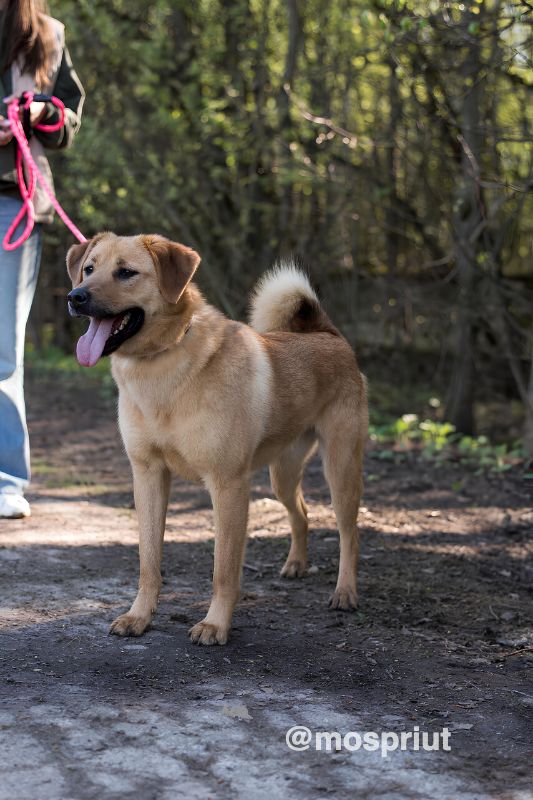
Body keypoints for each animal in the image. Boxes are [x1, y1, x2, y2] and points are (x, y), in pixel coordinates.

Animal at [65, 231, 366, 644]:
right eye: (89, 269)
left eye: (126, 272)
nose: (75, 296)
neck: (164, 361)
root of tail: (328, 334)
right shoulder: (148, 475)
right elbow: (148, 561)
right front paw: (139, 616)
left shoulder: (228, 485)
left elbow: (224, 569)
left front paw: (215, 624)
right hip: (283, 475)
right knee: (301, 513)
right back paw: (296, 564)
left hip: (340, 470)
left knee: (349, 533)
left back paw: (346, 591)